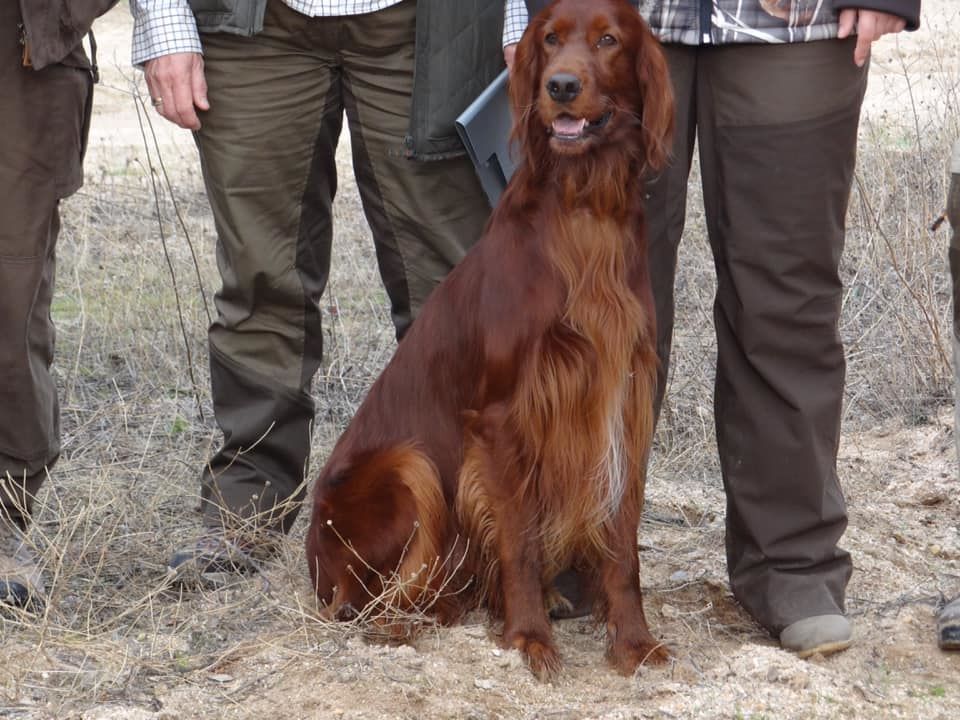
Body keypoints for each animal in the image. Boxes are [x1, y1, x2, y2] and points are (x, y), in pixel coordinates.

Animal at [308, 0, 676, 680]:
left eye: (609, 40)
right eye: (550, 38)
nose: (561, 86)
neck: (584, 207)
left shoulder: (621, 400)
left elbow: (622, 544)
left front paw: (634, 642)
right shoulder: (505, 419)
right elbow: (520, 543)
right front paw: (528, 636)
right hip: (408, 468)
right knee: (370, 603)